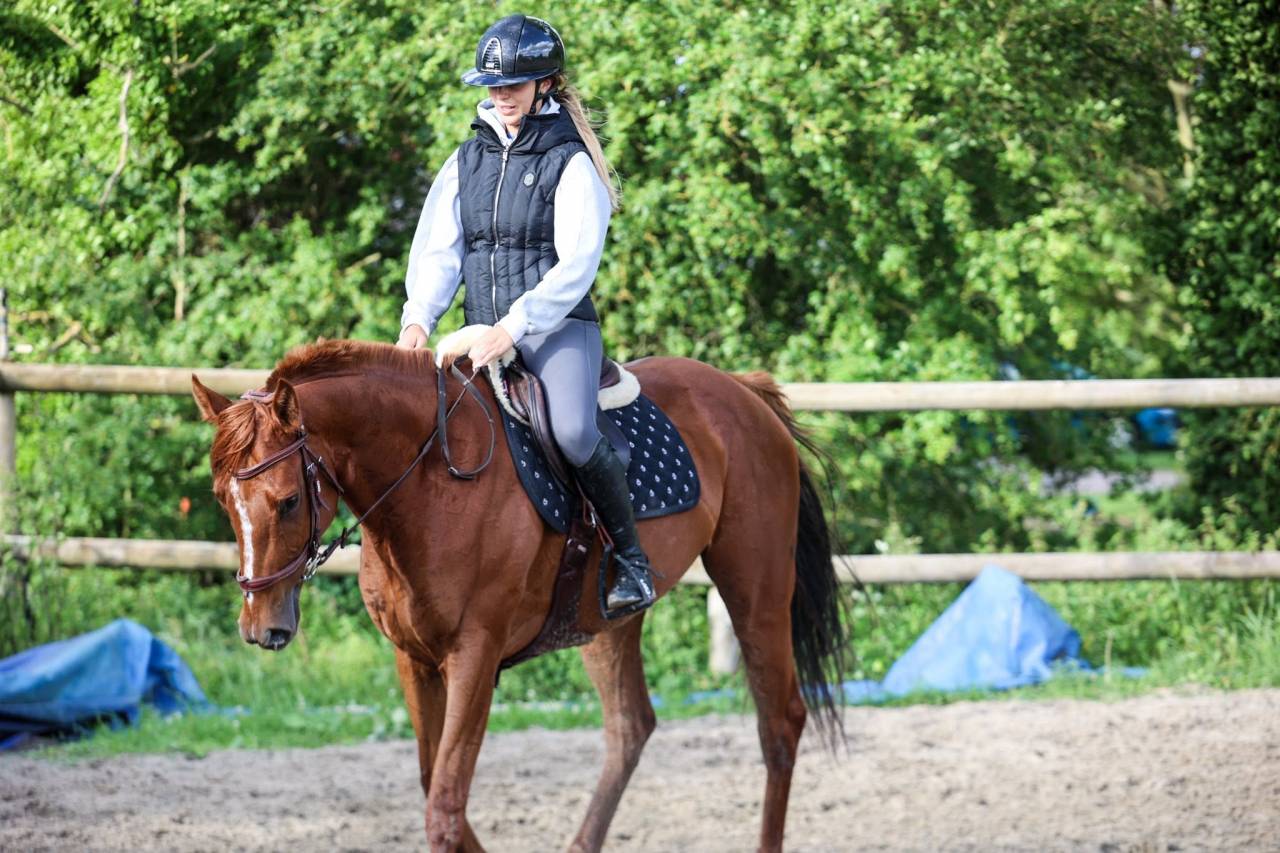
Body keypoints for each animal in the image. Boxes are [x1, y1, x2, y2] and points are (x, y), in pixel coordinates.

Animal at [191, 338, 849, 852]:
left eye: (288, 501)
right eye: (223, 499)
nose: (261, 628)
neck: (429, 486)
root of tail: (741, 390)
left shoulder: (474, 658)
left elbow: (445, 804)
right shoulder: (414, 660)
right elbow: (435, 788)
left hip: (756, 586)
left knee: (780, 722)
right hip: (604, 621)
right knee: (630, 728)